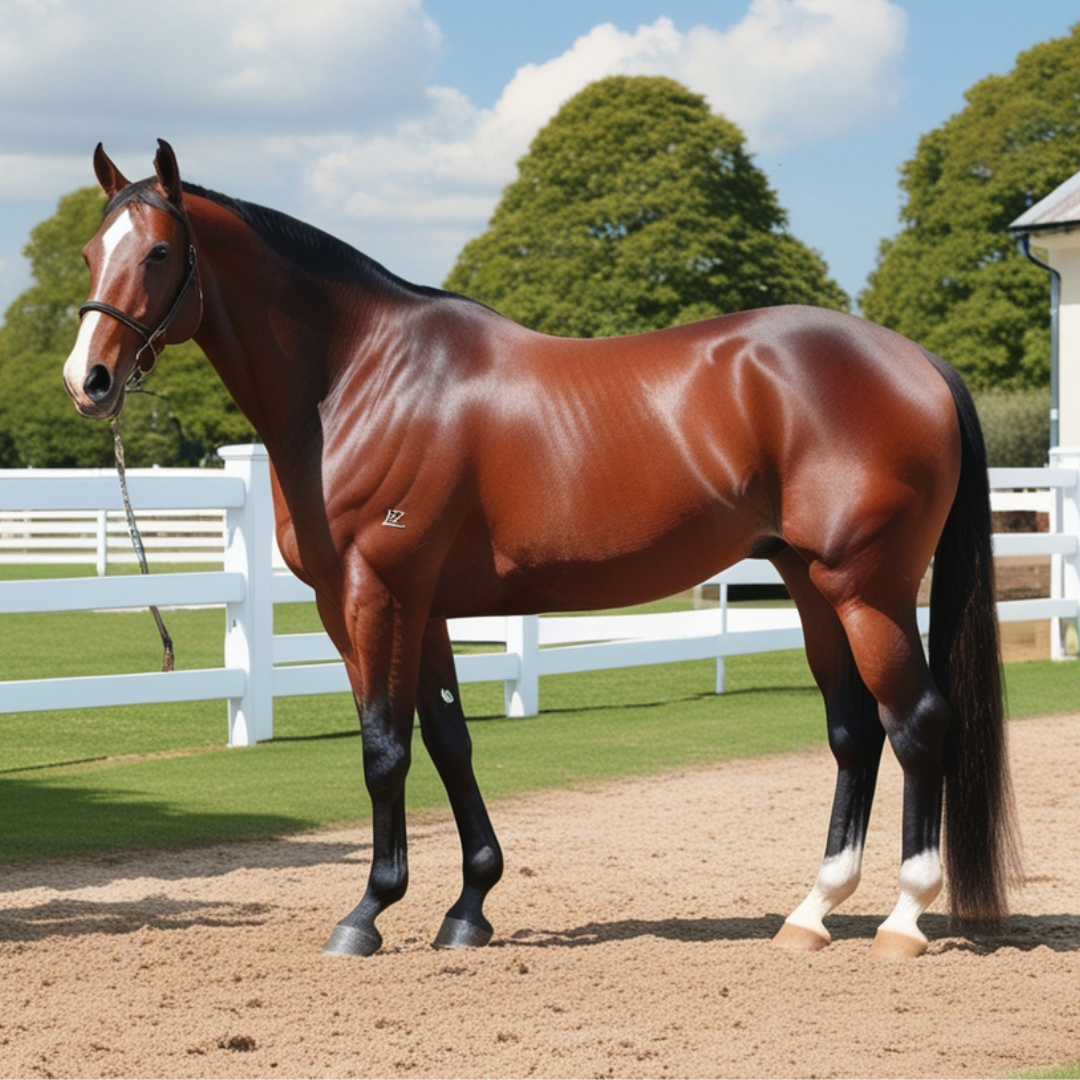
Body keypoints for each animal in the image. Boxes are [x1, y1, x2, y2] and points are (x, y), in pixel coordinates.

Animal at [63, 140, 1019, 960]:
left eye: (158, 253)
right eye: (87, 252)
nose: (88, 381)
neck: (360, 378)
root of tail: (919, 362)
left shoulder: (374, 596)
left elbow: (384, 748)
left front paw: (368, 911)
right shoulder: (420, 607)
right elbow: (449, 742)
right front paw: (468, 907)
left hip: (869, 590)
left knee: (917, 723)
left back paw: (903, 919)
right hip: (812, 584)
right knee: (855, 731)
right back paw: (812, 912)